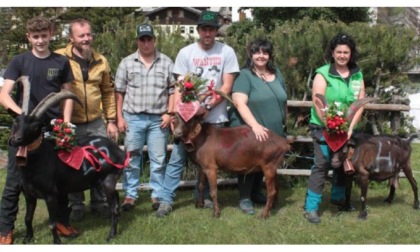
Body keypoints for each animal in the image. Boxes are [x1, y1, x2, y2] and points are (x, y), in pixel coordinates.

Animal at [9, 77, 128, 244]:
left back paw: (110, 235)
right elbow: (27, 218)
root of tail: (119, 151)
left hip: (109, 179)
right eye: (16, 122)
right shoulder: (29, 195)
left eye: (35, 126)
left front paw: (57, 242)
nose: (16, 140)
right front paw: (27, 238)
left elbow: (52, 223)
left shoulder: (51, 195)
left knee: (114, 208)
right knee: (116, 202)